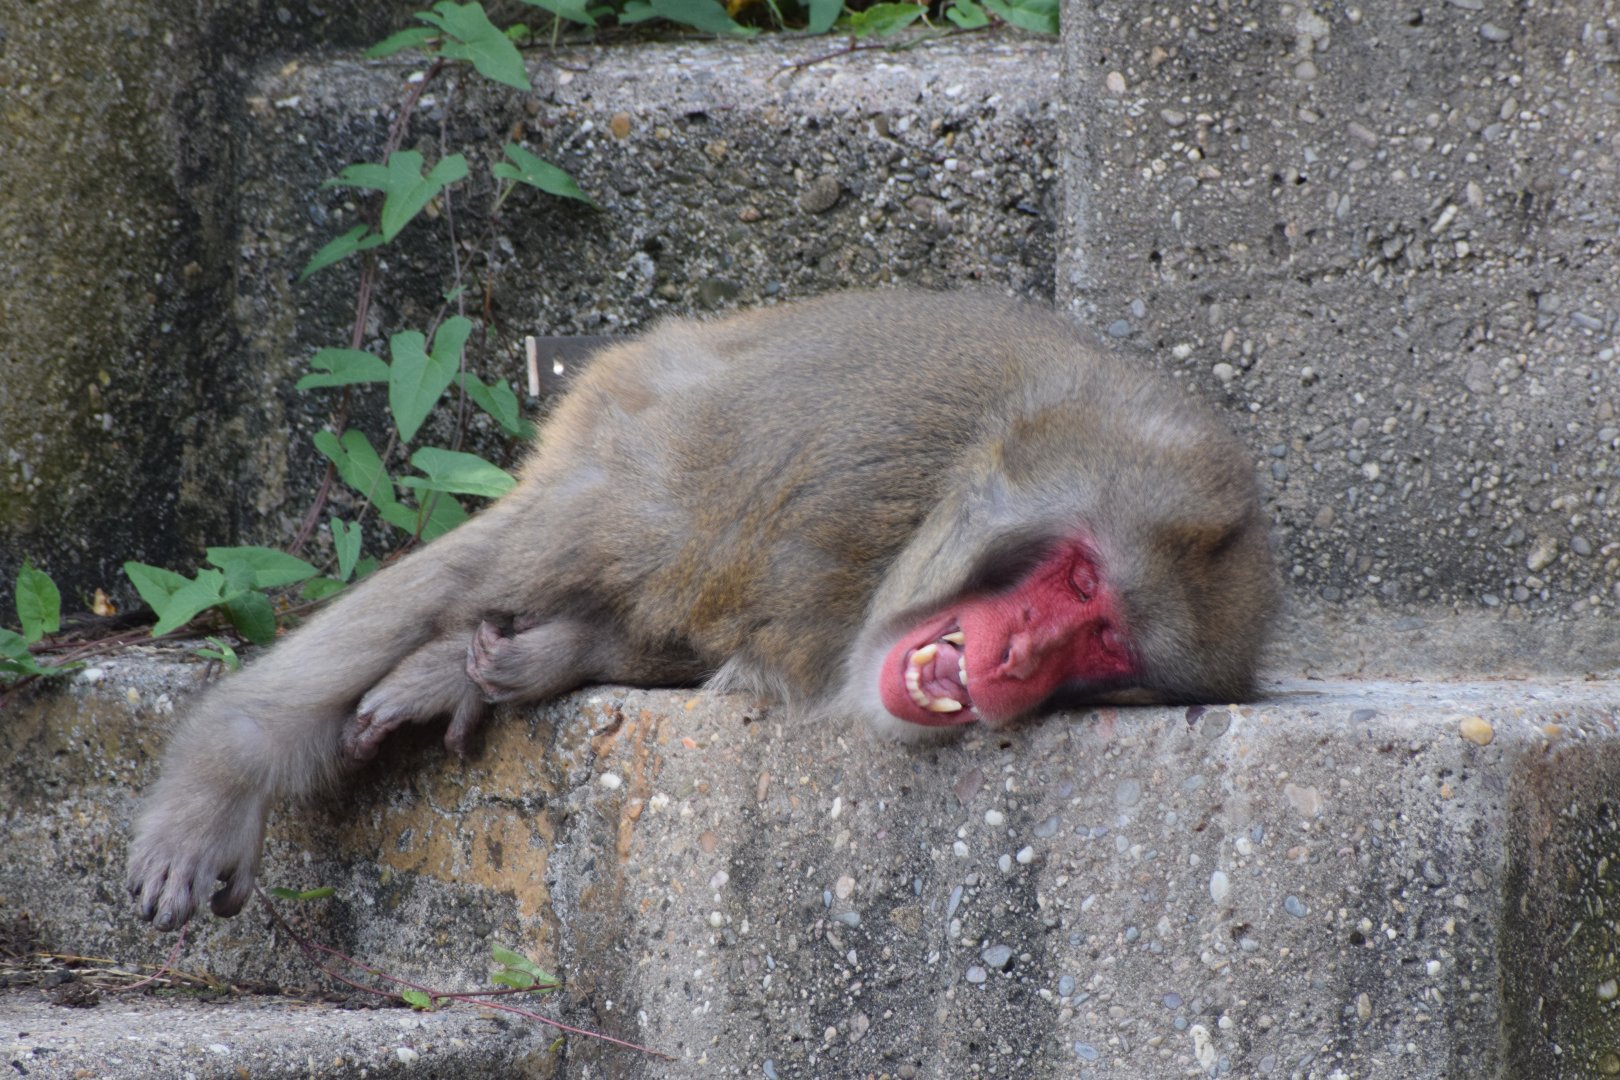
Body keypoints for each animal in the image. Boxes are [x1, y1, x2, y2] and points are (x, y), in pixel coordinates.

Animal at [126, 289, 1279, 931]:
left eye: (1101, 648)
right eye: (1080, 586)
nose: (1019, 659)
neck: (945, 491)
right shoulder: (813, 493)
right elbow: (504, 561)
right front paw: (223, 770)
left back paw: (515, 660)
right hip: (646, 419)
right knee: (554, 542)